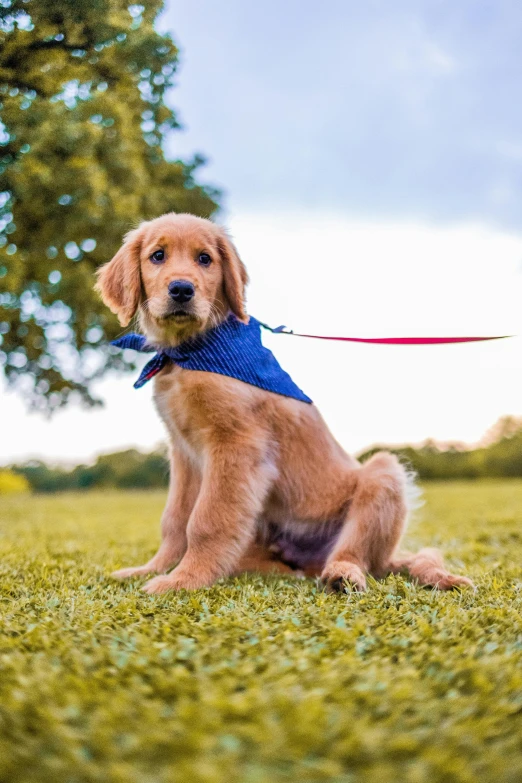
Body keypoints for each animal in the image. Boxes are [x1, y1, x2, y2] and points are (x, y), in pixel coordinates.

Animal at [94, 214, 472, 596]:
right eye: (157, 256)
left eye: (205, 259)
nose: (182, 289)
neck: (192, 350)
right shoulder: (184, 453)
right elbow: (174, 519)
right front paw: (151, 569)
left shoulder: (237, 445)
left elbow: (205, 519)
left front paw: (184, 580)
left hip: (383, 475)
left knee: (357, 553)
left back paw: (343, 574)